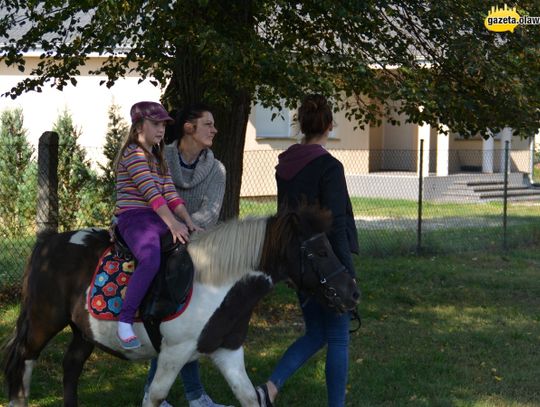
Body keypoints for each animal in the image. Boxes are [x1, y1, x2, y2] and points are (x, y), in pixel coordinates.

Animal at [4, 207, 360, 407]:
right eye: (320, 251)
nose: (351, 293)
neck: (215, 280)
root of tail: (48, 243)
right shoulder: (174, 352)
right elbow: (154, 396)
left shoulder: (227, 350)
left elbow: (248, 397)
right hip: (43, 321)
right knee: (23, 363)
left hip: (83, 330)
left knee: (71, 367)